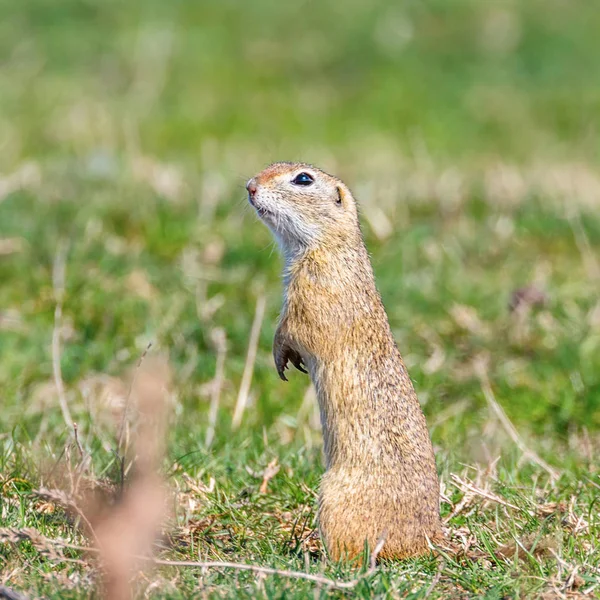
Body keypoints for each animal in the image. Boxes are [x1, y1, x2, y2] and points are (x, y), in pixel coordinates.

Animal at [246, 162, 442, 560]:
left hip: (333, 499)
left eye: (303, 179)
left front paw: (281, 357)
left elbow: (295, 329)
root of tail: (431, 540)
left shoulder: (313, 292)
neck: (329, 246)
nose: (249, 186)